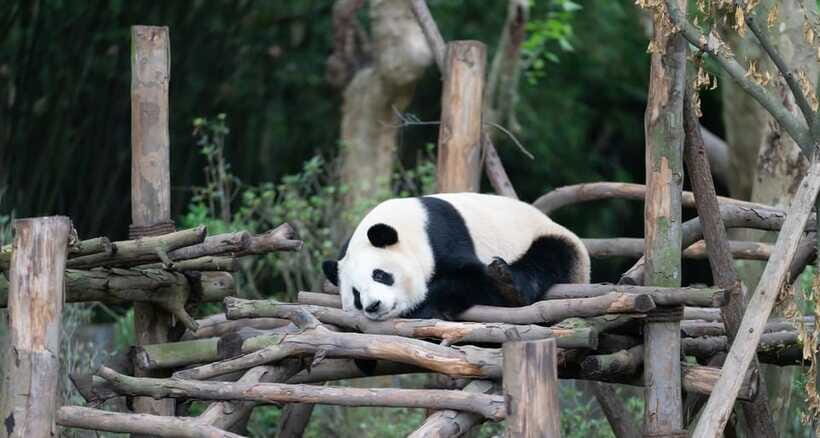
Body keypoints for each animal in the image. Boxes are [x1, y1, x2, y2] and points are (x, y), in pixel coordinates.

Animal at [322, 192, 590, 320]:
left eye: (380, 275)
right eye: (356, 295)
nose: (373, 306)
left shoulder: (444, 235)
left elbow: (473, 279)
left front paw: (423, 307)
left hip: (551, 240)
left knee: (546, 259)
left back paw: (509, 282)